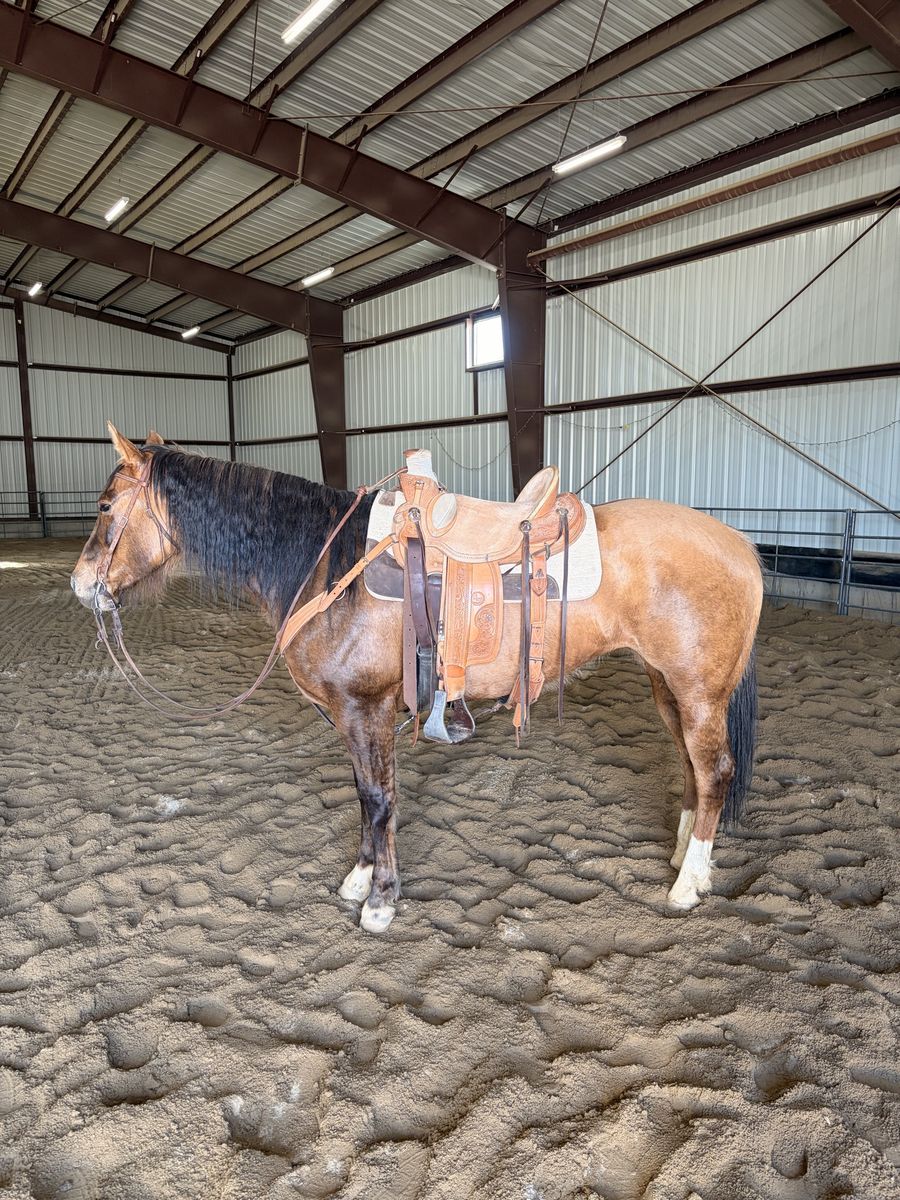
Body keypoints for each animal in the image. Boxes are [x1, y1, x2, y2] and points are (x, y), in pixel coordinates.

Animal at [71, 425, 763, 933]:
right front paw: (359, 879)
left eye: (104, 506)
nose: (81, 586)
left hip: (700, 693)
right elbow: (364, 796)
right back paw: (683, 855)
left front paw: (380, 900)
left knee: (715, 772)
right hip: (667, 686)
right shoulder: (354, 716)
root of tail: (741, 545)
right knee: (691, 767)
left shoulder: (366, 709)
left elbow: (379, 800)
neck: (328, 565)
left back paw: (687, 884)